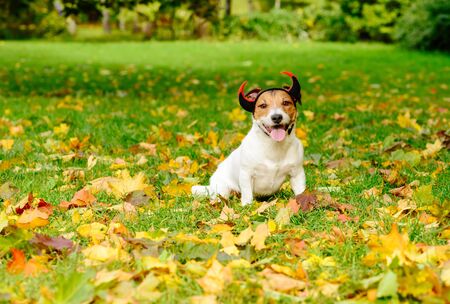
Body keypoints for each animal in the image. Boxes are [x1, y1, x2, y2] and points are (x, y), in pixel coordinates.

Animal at [191, 71, 306, 205]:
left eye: (286, 103)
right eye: (263, 105)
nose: (277, 117)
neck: (274, 146)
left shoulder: (297, 173)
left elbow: (301, 191)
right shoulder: (246, 174)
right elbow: (247, 193)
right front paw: (247, 206)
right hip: (222, 188)